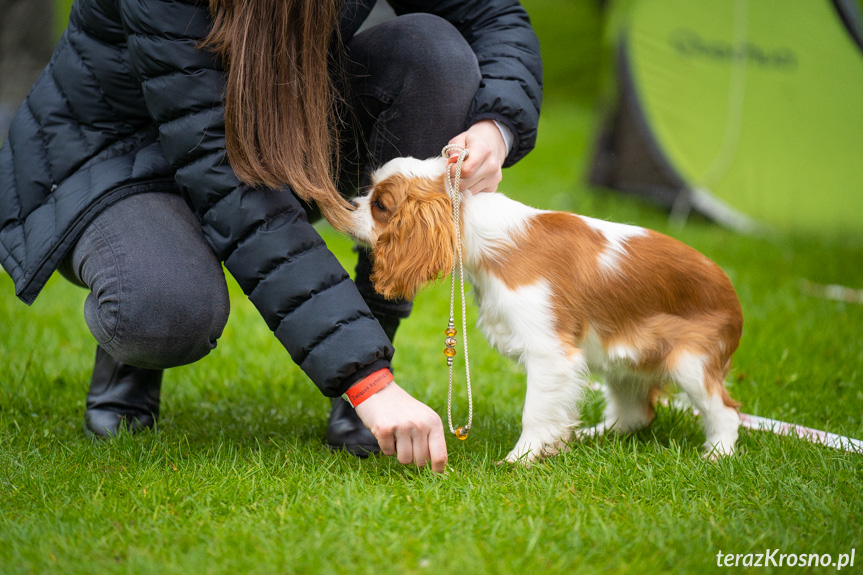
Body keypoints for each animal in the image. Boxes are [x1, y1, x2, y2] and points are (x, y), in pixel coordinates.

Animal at [350, 156, 744, 464]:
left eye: (380, 205)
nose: (351, 204)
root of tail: (731, 292)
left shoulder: (549, 353)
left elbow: (535, 413)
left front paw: (521, 458)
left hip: (690, 362)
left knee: (725, 412)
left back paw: (717, 454)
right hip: (624, 361)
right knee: (635, 414)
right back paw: (590, 435)